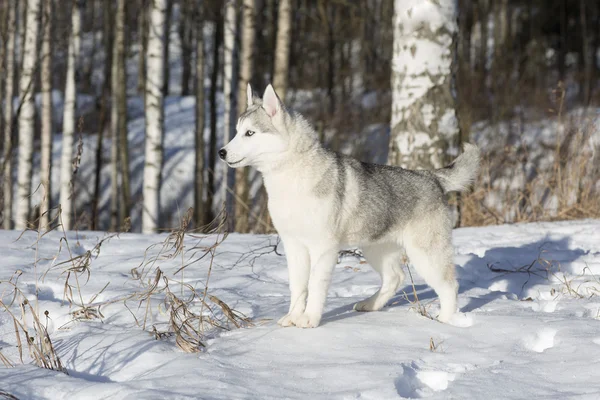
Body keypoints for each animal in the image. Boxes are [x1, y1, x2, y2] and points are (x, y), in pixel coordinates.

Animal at [218, 84, 480, 328]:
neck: (292, 176)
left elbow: (315, 286)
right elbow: (298, 287)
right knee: (395, 278)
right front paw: (293, 317)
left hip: (425, 254)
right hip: (376, 249)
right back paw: (370, 304)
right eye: (236, 132)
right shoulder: (294, 246)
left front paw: (309, 319)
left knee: (449, 285)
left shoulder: (323, 248)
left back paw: (445, 320)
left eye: (250, 133)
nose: (221, 152)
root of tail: (431, 176)